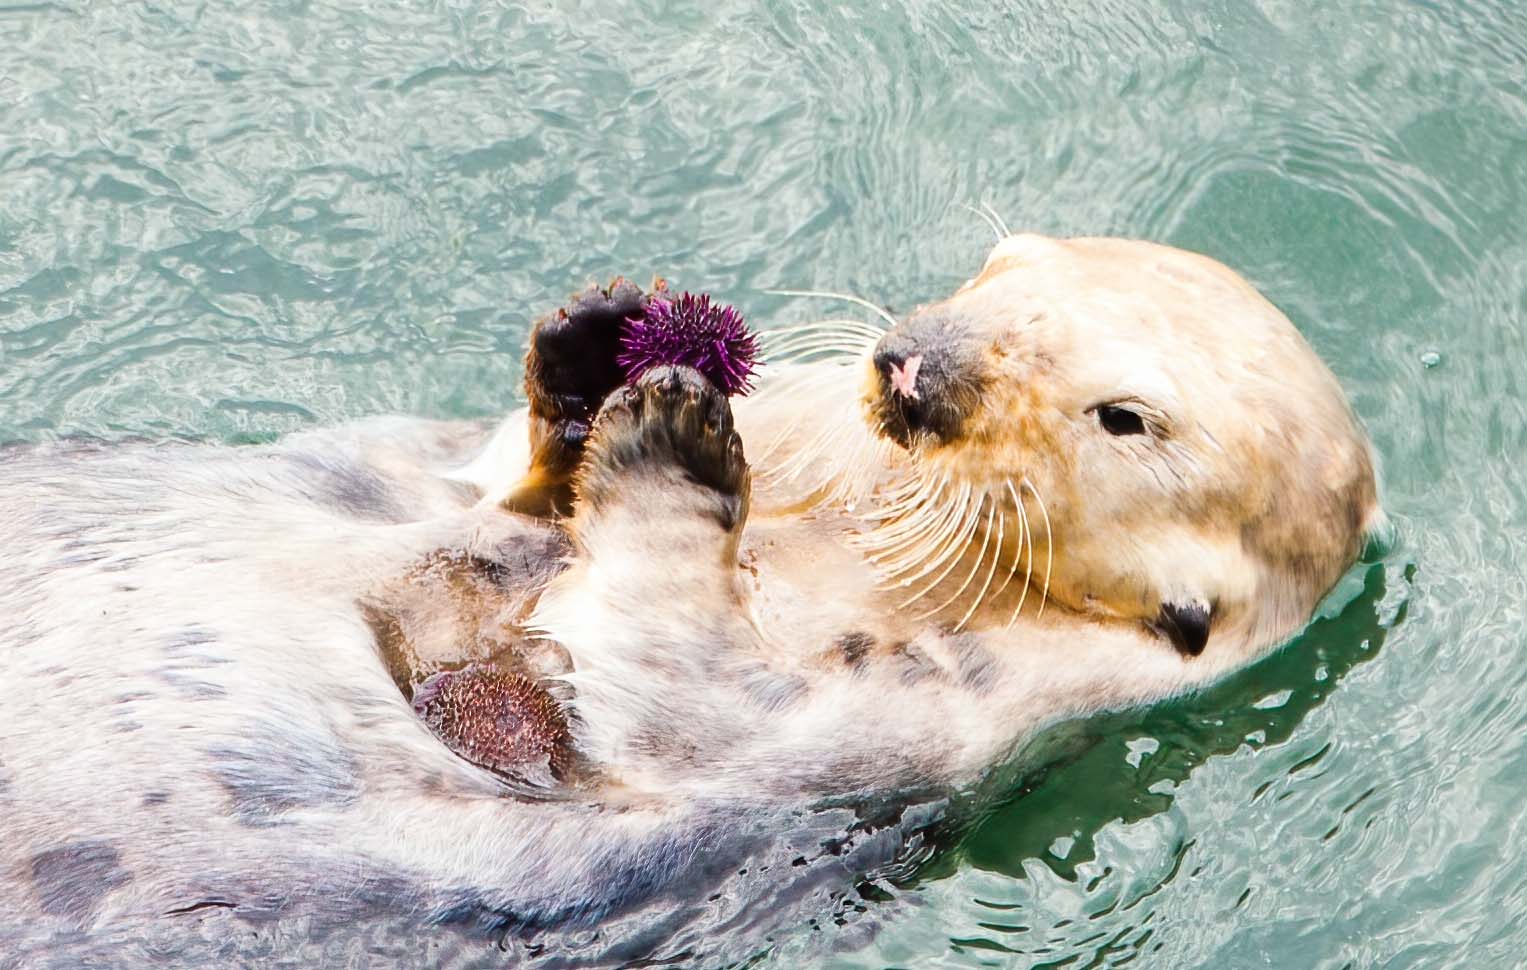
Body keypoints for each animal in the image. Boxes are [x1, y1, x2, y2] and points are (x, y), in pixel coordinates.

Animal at [0, 233, 1386, 965]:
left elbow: (653, 683)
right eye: (1006, 264)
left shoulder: (922, 719)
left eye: (1125, 416)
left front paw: (673, 439)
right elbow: (494, 487)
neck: (846, 527)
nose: (914, 360)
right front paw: (589, 344)